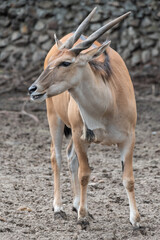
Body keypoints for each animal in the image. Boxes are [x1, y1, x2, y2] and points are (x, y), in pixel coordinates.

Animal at [28, 7, 140, 229]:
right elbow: (84, 174)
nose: (33, 89)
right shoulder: (81, 136)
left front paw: (136, 220)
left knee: (69, 156)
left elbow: (128, 178)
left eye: (66, 62)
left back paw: (75, 203)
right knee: (57, 156)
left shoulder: (128, 139)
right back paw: (59, 208)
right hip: (54, 118)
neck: (107, 106)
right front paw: (82, 216)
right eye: (52, 62)